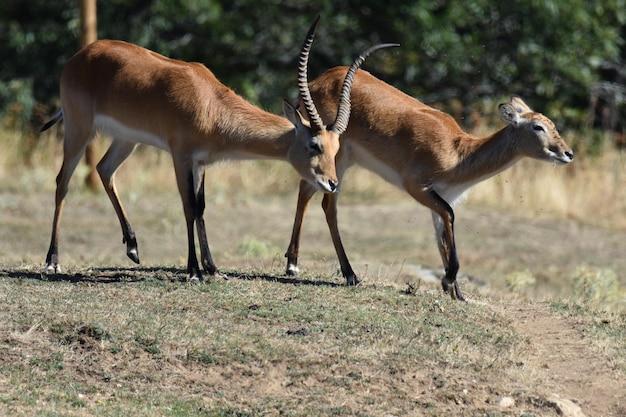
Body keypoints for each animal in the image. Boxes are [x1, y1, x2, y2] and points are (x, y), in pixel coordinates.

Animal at [41, 17, 394, 282]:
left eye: (336, 150)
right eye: (313, 144)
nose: (332, 183)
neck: (210, 105)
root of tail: (82, 54)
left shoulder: (200, 162)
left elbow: (201, 207)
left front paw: (212, 268)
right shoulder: (180, 156)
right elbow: (188, 206)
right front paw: (194, 271)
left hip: (126, 140)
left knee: (104, 170)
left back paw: (133, 248)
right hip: (79, 129)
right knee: (62, 182)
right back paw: (52, 261)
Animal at [282, 69, 572, 302]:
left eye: (551, 124)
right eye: (537, 127)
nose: (568, 153)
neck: (458, 153)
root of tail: (317, 81)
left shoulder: (440, 197)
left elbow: (442, 234)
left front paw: (456, 293)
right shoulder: (417, 187)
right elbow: (450, 218)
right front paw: (448, 282)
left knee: (306, 192)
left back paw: (293, 264)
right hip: (337, 159)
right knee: (327, 204)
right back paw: (346, 274)